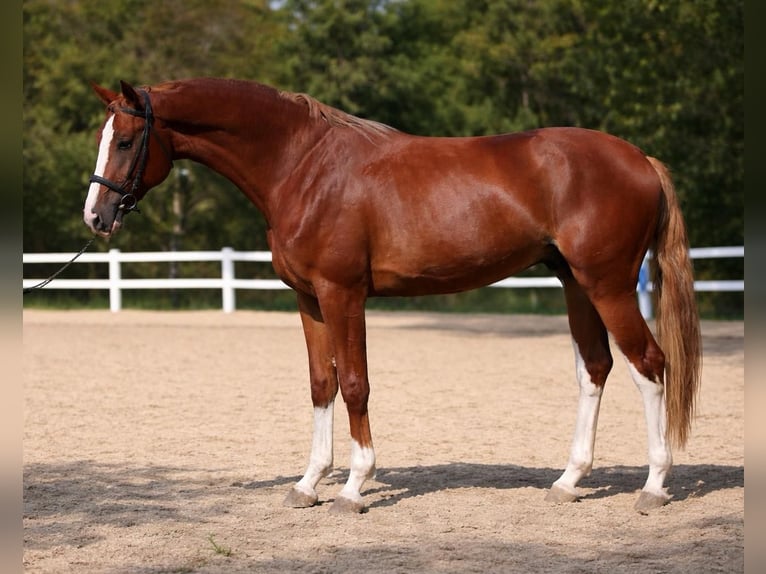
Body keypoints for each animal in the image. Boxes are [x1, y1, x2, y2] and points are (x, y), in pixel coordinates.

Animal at [83, 78, 701, 514]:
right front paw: (307, 484)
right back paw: (569, 482)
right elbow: (322, 384)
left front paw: (354, 486)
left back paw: (653, 487)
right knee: (595, 367)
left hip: (608, 284)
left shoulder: (343, 295)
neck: (303, 166)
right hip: (574, 282)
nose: (96, 216)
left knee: (648, 365)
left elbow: (356, 384)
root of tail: (641, 160)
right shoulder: (308, 300)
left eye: (127, 140)